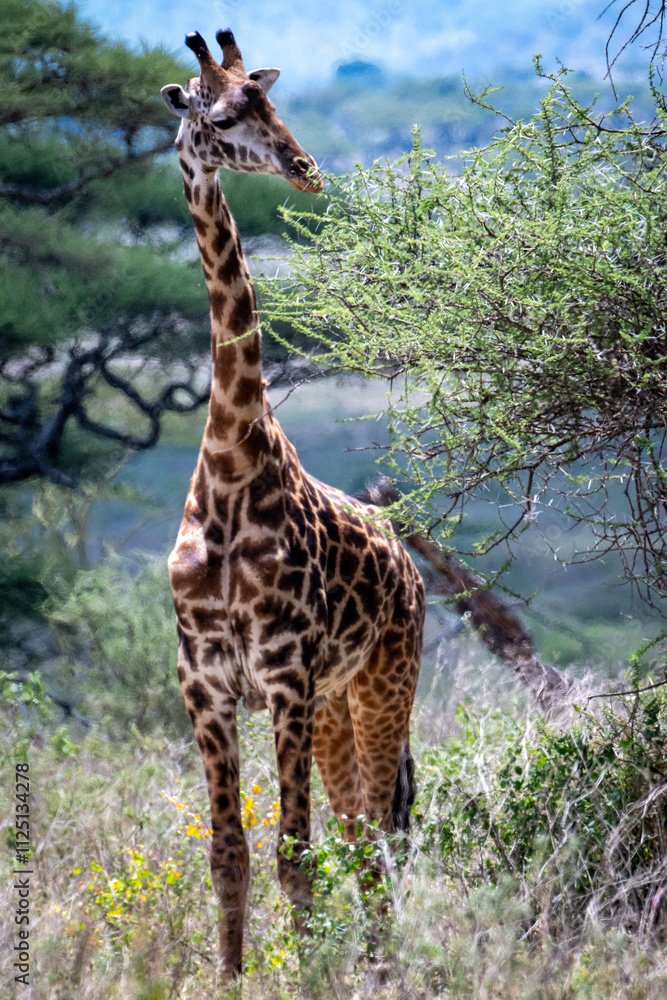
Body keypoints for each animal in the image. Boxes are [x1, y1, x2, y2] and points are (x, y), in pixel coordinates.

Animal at [161, 29, 425, 980]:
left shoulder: (285, 675)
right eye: (222, 115)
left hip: (381, 682)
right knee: (358, 832)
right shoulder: (206, 681)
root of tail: (410, 564)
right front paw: (230, 979)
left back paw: (386, 973)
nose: (305, 168)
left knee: (377, 834)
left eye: (271, 103)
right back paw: (377, 966)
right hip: (336, 707)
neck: (231, 466)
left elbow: (293, 857)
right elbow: (230, 855)